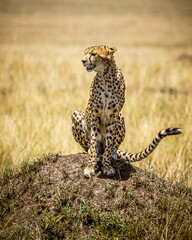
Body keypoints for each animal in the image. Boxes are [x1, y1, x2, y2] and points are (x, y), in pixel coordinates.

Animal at [71, 45, 182, 178]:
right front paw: (90, 167)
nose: (83, 61)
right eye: (85, 53)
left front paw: (107, 166)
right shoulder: (95, 115)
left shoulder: (113, 115)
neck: (105, 76)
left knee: (112, 146)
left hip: (120, 117)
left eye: (93, 54)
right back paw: (91, 151)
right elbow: (93, 143)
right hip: (76, 113)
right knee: (89, 146)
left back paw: (113, 153)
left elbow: (109, 143)